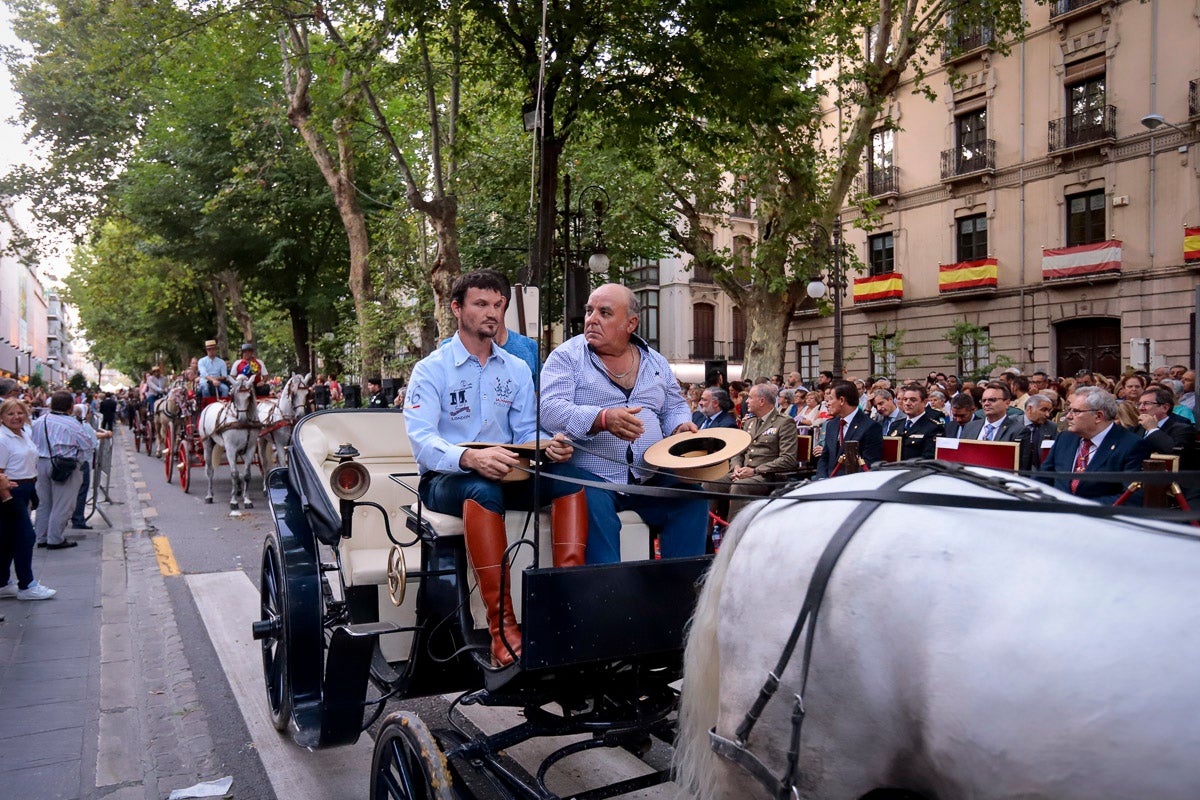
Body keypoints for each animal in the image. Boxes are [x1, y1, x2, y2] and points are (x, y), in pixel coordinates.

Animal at [195, 376, 259, 513]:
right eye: (234, 396)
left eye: (249, 396)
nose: (242, 420)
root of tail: (210, 404)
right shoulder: (230, 448)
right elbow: (234, 474)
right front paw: (234, 502)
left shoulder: (250, 448)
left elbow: (246, 475)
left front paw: (247, 500)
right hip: (207, 443)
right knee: (210, 470)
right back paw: (209, 496)